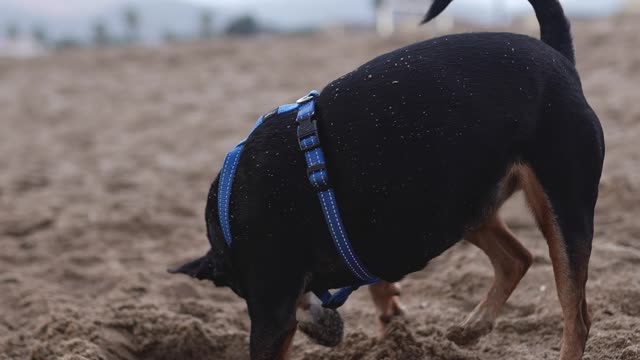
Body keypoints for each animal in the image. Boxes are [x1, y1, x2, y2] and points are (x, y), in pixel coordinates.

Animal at [171, 1, 604, 358]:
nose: (325, 337)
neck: (228, 219)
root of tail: (557, 55)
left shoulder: (272, 310)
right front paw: (390, 317)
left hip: (561, 204)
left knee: (576, 315)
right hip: (463, 201)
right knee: (517, 258)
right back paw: (471, 327)